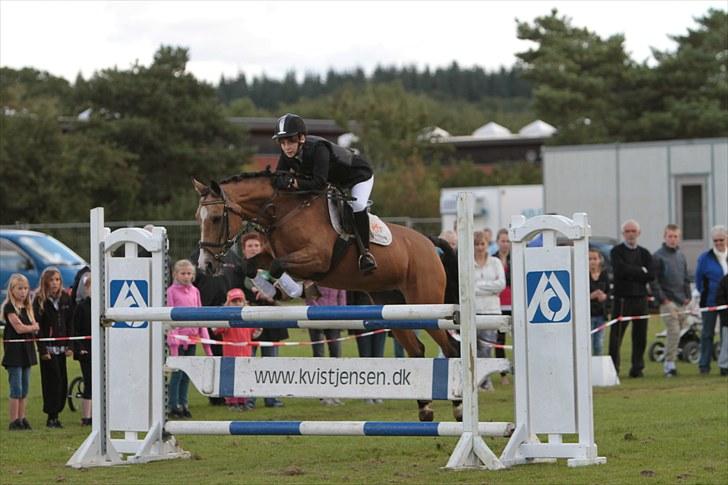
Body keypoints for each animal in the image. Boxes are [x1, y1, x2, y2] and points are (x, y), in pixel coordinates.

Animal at [193, 170, 460, 420]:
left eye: (215, 218)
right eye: (198, 218)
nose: (205, 265)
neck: (284, 211)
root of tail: (428, 244)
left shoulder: (317, 259)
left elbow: (279, 266)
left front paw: (289, 290)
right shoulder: (271, 254)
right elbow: (252, 265)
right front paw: (271, 290)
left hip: (425, 303)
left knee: (450, 348)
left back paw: (457, 408)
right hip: (393, 306)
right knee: (417, 350)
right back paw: (425, 409)